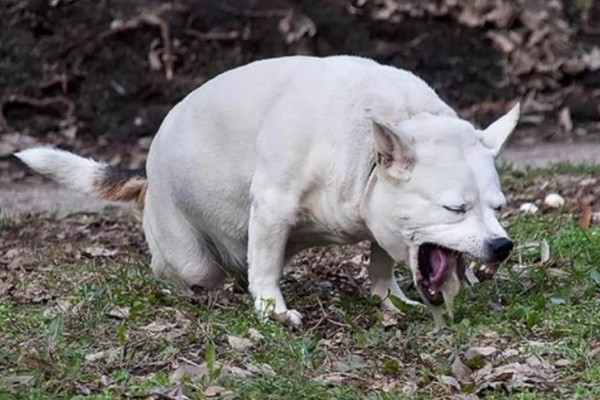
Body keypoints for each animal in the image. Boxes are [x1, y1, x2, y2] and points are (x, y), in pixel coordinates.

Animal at [16, 56, 516, 326]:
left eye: (499, 208)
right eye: (455, 208)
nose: (502, 246)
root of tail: (148, 177)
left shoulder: (380, 216)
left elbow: (380, 261)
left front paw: (388, 297)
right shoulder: (274, 208)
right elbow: (267, 268)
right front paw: (273, 310)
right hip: (189, 256)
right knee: (185, 270)